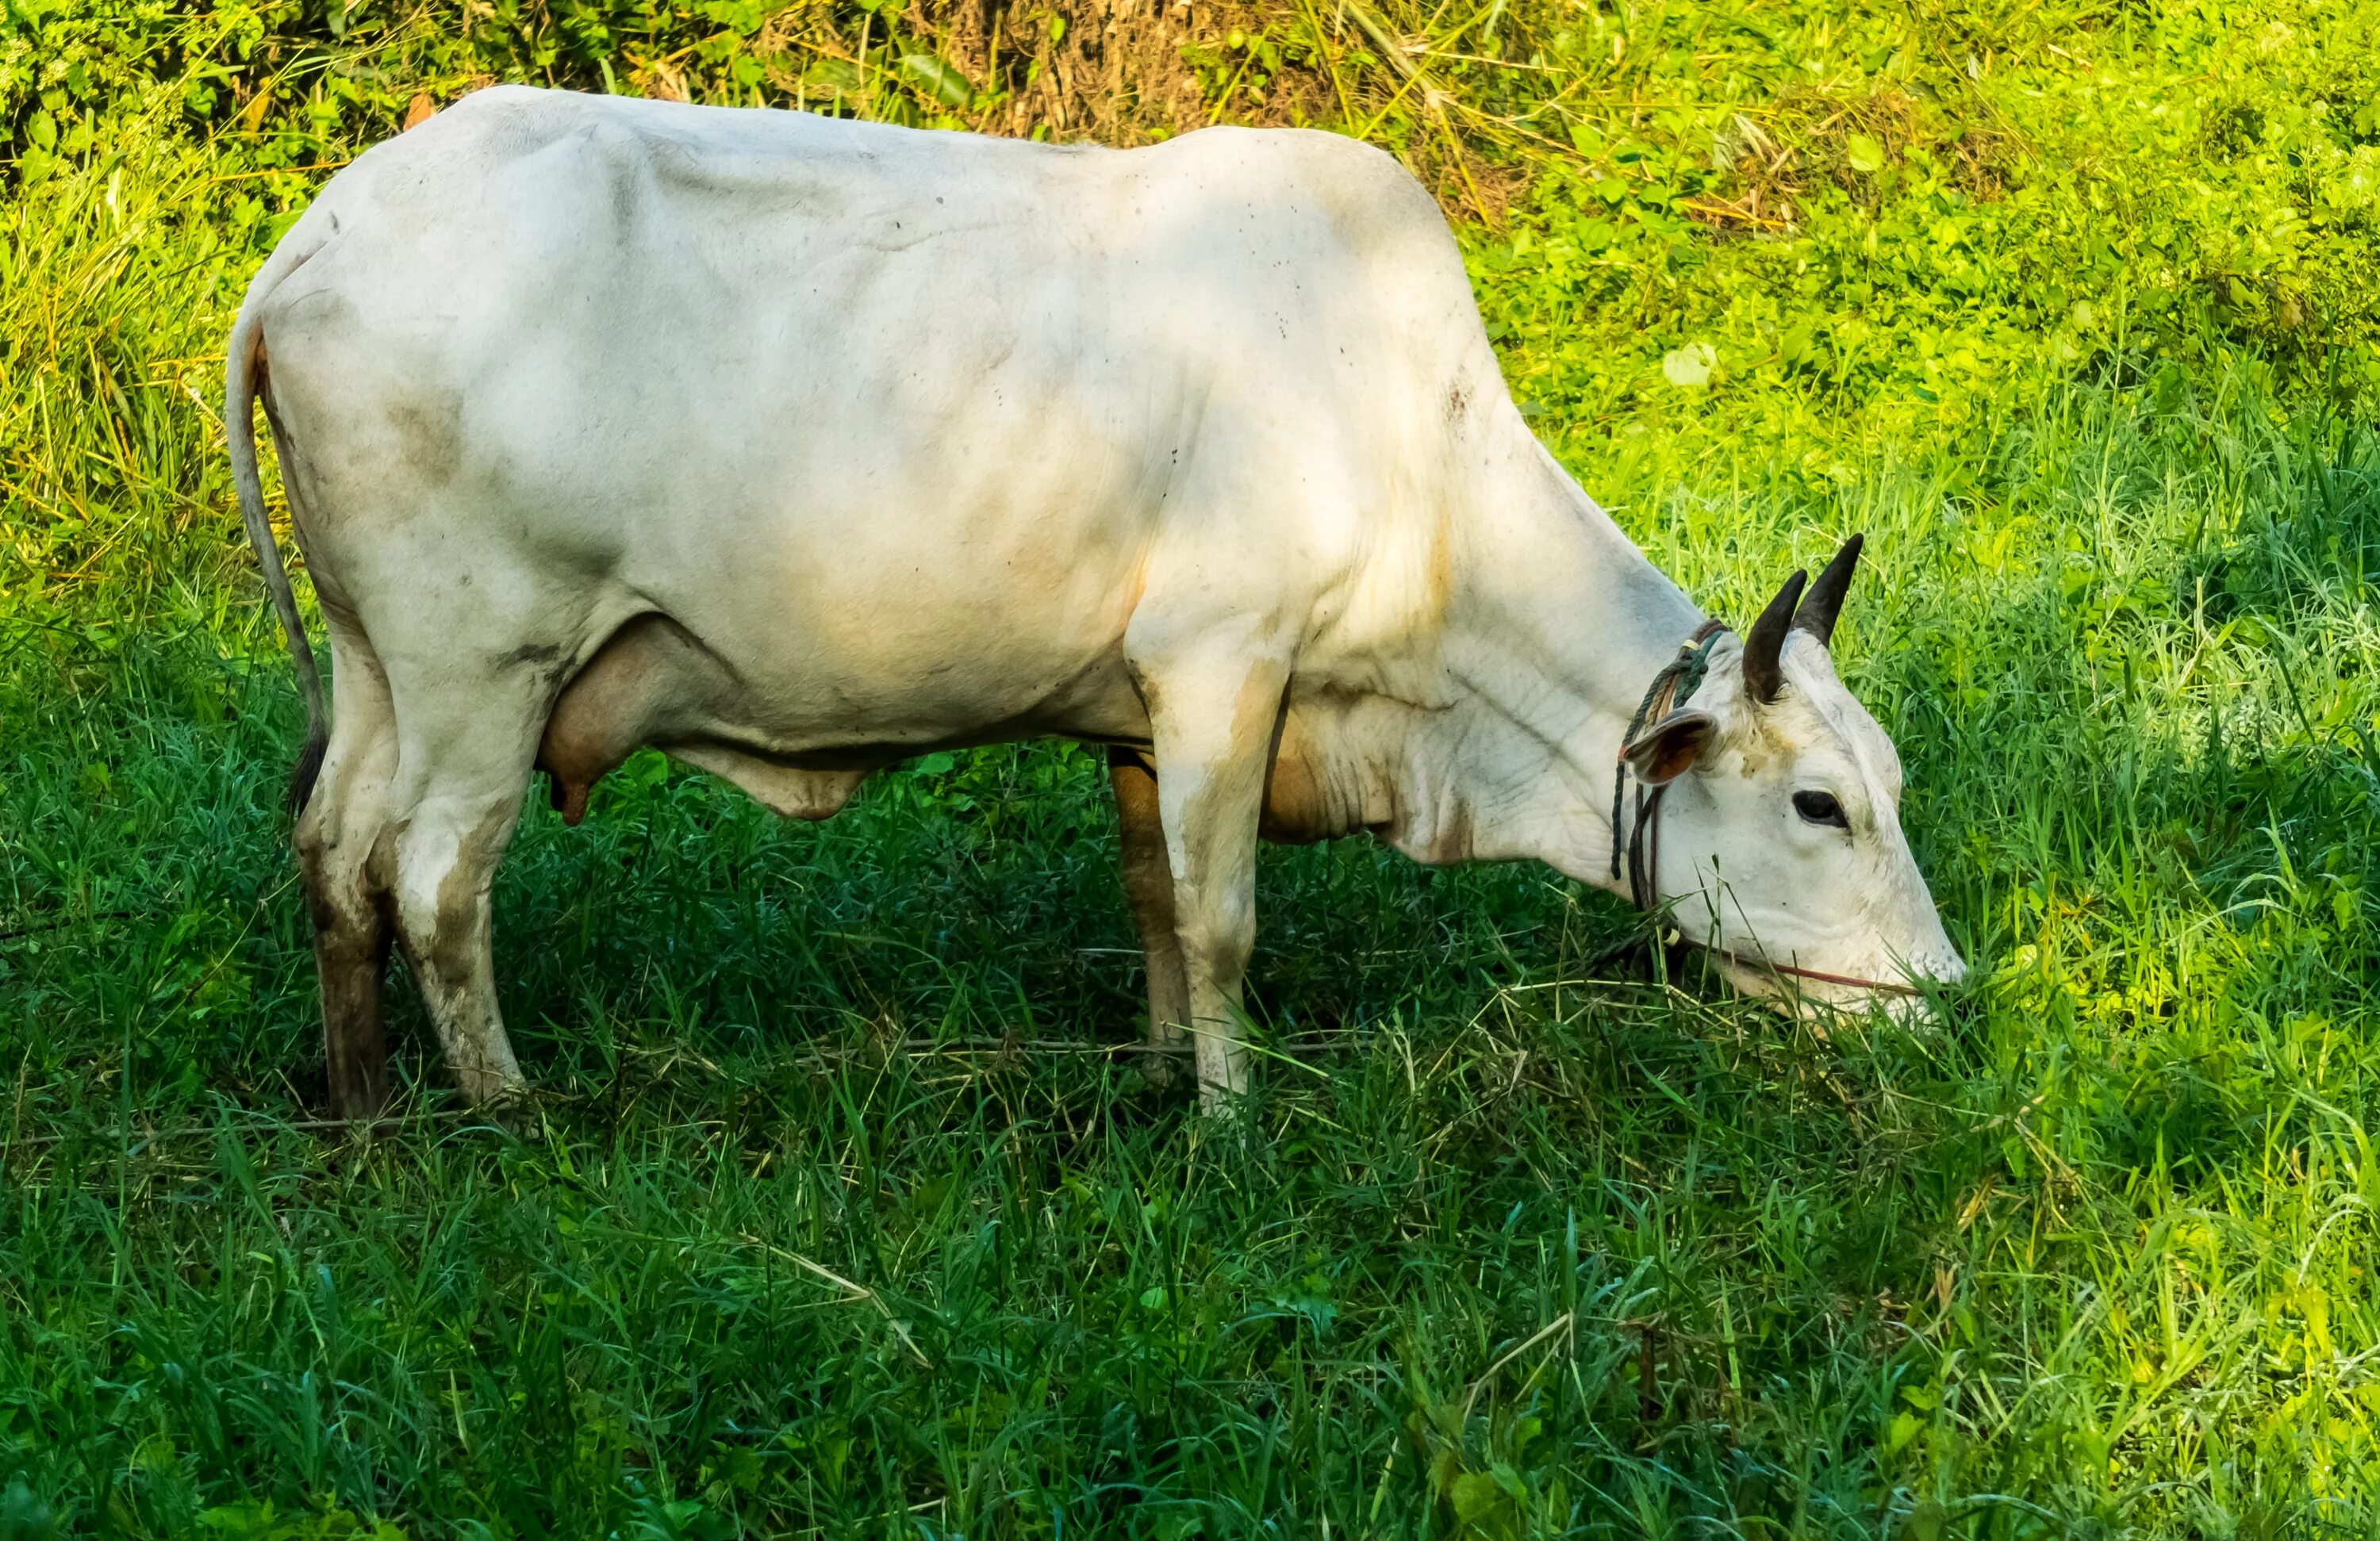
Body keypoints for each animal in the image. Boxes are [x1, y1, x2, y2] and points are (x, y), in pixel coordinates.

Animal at [227, 87, 1971, 1117]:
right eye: (1818, 803)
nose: (1947, 999)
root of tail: (319, 235)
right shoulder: (1223, 664)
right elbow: (1223, 917)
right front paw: (1233, 1112)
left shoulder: (1138, 716)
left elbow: (1151, 899)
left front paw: (1153, 1065)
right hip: (485, 666)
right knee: (436, 878)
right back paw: (507, 1109)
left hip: (381, 664)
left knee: (335, 854)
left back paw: (366, 1100)